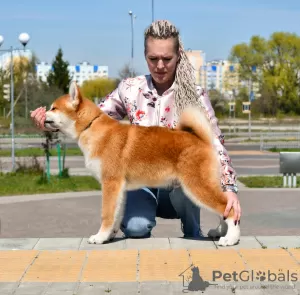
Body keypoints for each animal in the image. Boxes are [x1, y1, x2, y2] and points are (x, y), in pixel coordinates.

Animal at [44, 81, 240, 247]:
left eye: (53, 108)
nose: (41, 114)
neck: (90, 126)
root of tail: (202, 140)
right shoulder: (118, 189)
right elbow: (115, 216)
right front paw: (109, 236)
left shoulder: (110, 184)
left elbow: (106, 214)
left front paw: (99, 237)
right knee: (225, 207)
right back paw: (219, 232)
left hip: (195, 187)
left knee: (229, 210)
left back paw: (230, 238)